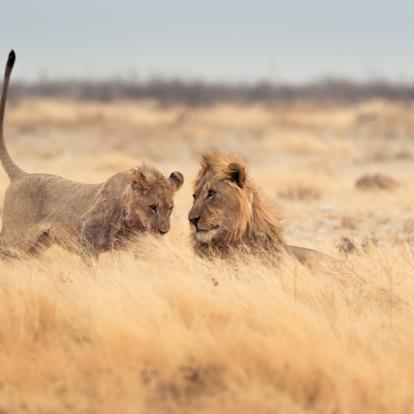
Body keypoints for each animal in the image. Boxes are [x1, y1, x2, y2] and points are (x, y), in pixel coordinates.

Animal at [0, 51, 184, 258]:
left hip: (37, 245)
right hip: (15, 237)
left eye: (170, 208)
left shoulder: (131, 249)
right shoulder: (87, 236)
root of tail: (21, 175)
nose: (163, 231)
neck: (131, 222)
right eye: (152, 207)